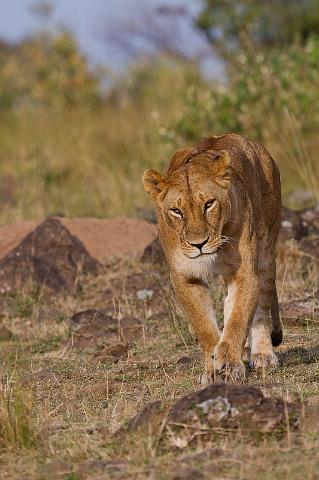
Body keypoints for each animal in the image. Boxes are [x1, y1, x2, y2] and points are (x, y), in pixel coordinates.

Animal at [142, 133, 282, 384]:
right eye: (176, 211)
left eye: (209, 204)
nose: (199, 244)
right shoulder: (185, 276)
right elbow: (204, 326)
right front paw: (213, 369)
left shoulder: (244, 272)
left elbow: (238, 320)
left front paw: (230, 364)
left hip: (266, 251)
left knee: (262, 306)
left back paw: (263, 355)